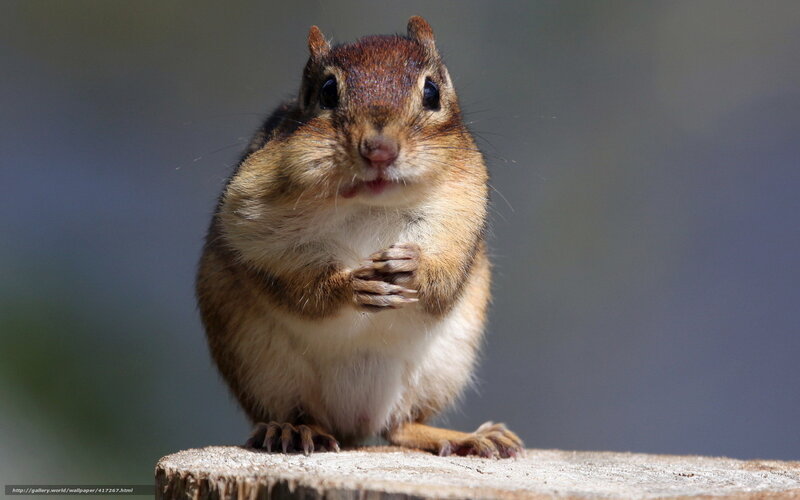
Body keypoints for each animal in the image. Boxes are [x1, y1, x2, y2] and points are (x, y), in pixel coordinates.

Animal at [196, 16, 523, 459]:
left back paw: (467, 437)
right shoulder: (250, 225)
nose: (379, 150)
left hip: (439, 370)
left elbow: (444, 280)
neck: (372, 204)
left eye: (432, 93)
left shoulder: (460, 219)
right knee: (300, 412)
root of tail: (354, 425)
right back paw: (291, 431)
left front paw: (411, 266)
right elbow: (297, 288)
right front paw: (352, 285)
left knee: (401, 426)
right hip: (261, 370)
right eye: (327, 92)